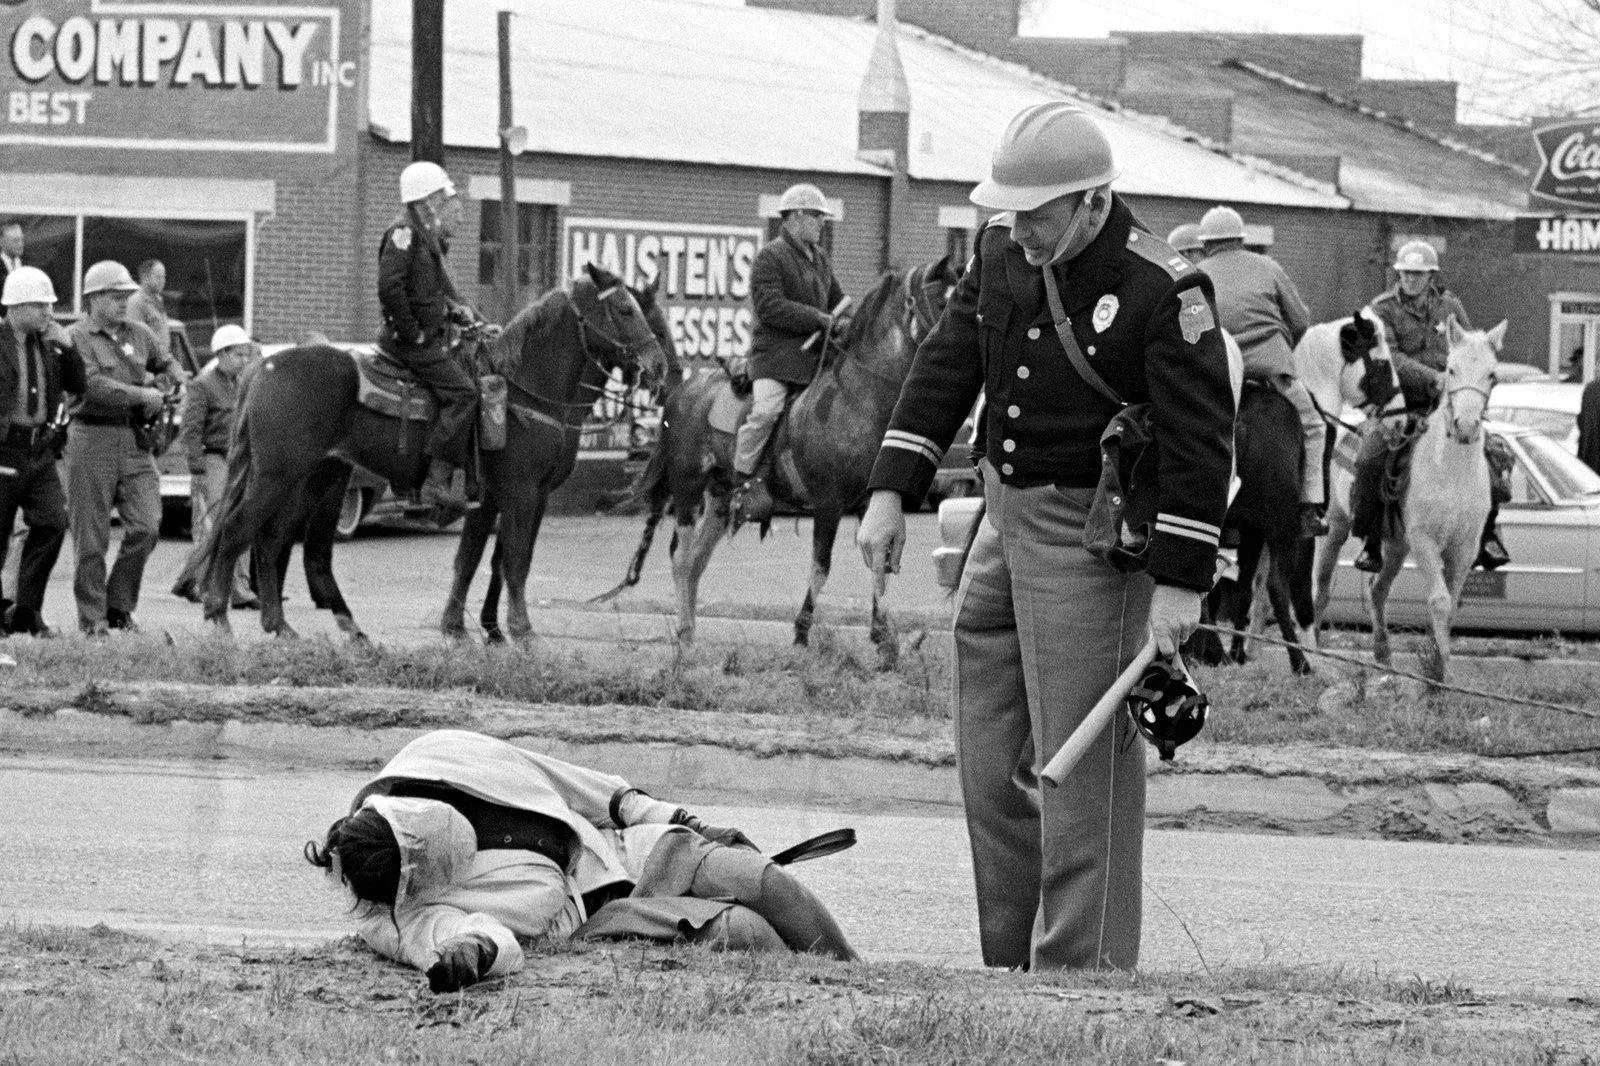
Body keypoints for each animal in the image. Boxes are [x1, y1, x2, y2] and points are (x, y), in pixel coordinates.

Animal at [194, 262, 666, 640]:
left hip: (315, 478)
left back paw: (284, 627)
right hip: (277, 477)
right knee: (236, 532)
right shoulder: (521, 492)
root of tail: (265, 366)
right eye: (626, 310)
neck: (524, 390)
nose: (659, 366)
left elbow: (477, 560)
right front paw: (520, 632)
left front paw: (464, 629)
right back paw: (220, 620)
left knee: (274, 540)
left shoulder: (500, 498)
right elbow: (514, 560)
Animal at [595, 255, 961, 661]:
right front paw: (801, 632)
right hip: (688, 489)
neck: (857, 398)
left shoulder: (872, 503)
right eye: (941, 301)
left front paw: (883, 637)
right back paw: (685, 631)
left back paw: (689, 633)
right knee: (682, 558)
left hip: (720, 499)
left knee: (696, 562)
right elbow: (820, 567)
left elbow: (877, 558)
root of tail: (680, 393)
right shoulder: (829, 503)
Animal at [1209, 311, 1401, 675]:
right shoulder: (1301, 534)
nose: (1399, 419)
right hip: (1284, 531)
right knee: (1277, 588)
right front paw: (1310, 652)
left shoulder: (1252, 532)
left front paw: (1238, 653)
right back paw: (1300, 662)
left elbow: (1244, 590)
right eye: (1383, 364)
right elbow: (1301, 597)